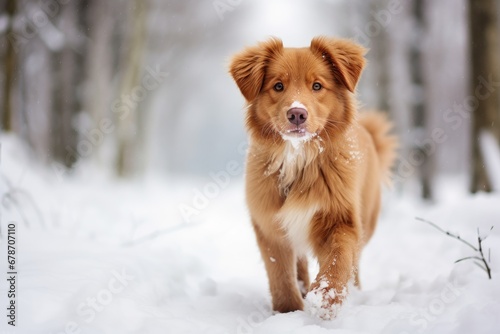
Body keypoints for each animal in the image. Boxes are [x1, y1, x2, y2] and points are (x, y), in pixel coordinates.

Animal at [229, 36, 396, 318]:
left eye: (317, 85)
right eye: (278, 86)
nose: (297, 113)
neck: (298, 159)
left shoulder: (341, 217)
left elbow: (339, 257)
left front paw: (327, 296)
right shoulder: (270, 225)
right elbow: (280, 276)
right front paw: (288, 312)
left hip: (367, 219)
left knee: (354, 261)